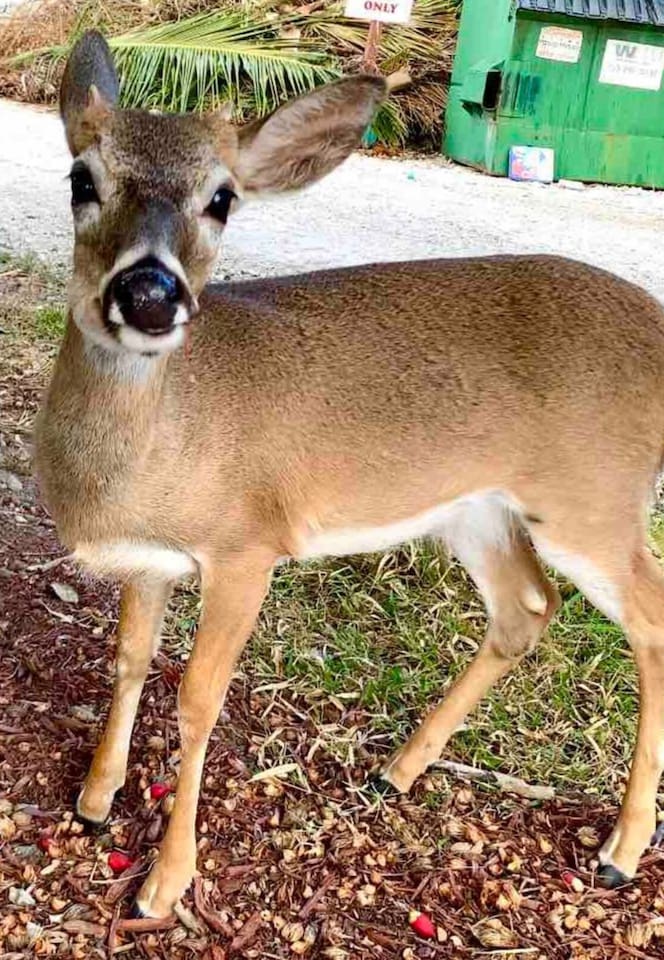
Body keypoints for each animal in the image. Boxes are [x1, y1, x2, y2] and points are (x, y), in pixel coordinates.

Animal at [34, 28, 664, 918]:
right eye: (82, 179)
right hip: (477, 510)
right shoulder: (149, 562)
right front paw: (94, 800)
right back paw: (398, 770)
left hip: (595, 499)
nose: (150, 293)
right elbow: (127, 661)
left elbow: (197, 700)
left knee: (651, 621)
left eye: (223, 198)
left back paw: (621, 848)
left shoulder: (248, 545)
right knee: (528, 606)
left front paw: (165, 880)